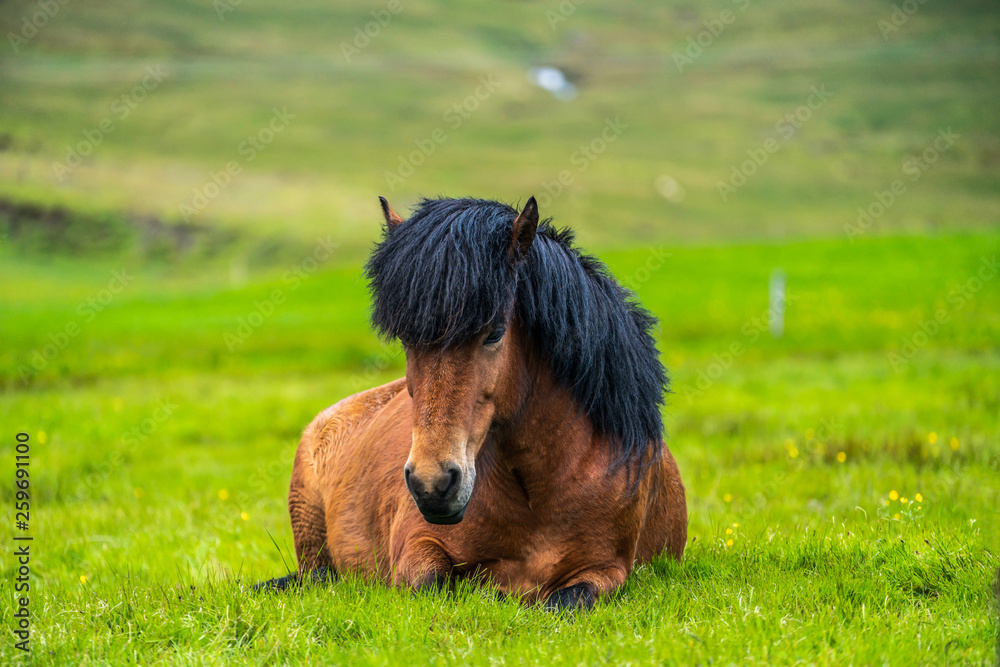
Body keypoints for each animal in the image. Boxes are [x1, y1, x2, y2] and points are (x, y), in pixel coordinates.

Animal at [264, 194, 688, 612]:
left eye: (495, 333)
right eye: (405, 339)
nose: (431, 484)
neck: (538, 495)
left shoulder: (607, 569)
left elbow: (566, 603)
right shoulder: (417, 548)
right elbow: (432, 585)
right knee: (319, 575)